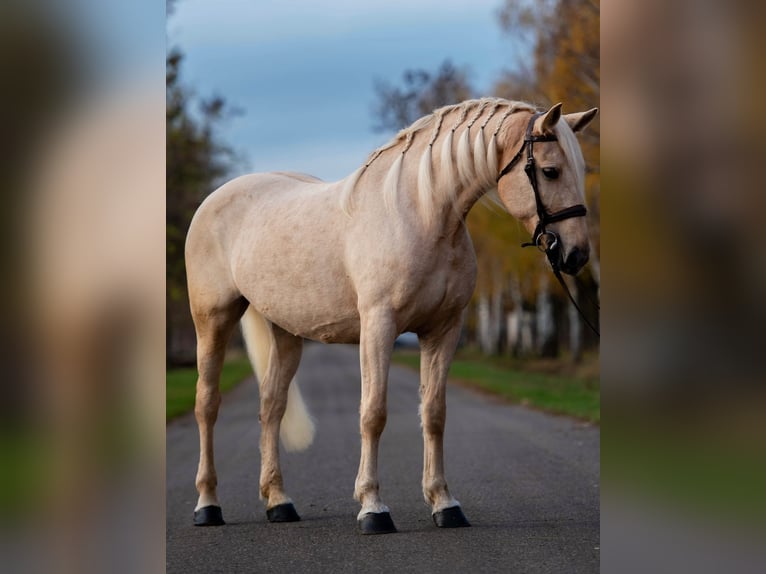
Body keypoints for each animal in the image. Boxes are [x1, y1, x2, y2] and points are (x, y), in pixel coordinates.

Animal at [185, 98, 598, 533]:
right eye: (551, 171)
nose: (576, 255)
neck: (422, 215)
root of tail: (217, 197)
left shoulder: (443, 331)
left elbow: (433, 413)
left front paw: (444, 504)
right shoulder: (379, 329)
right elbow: (374, 413)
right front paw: (373, 508)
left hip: (286, 332)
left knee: (272, 407)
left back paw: (279, 502)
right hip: (212, 321)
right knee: (207, 404)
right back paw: (207, 505)